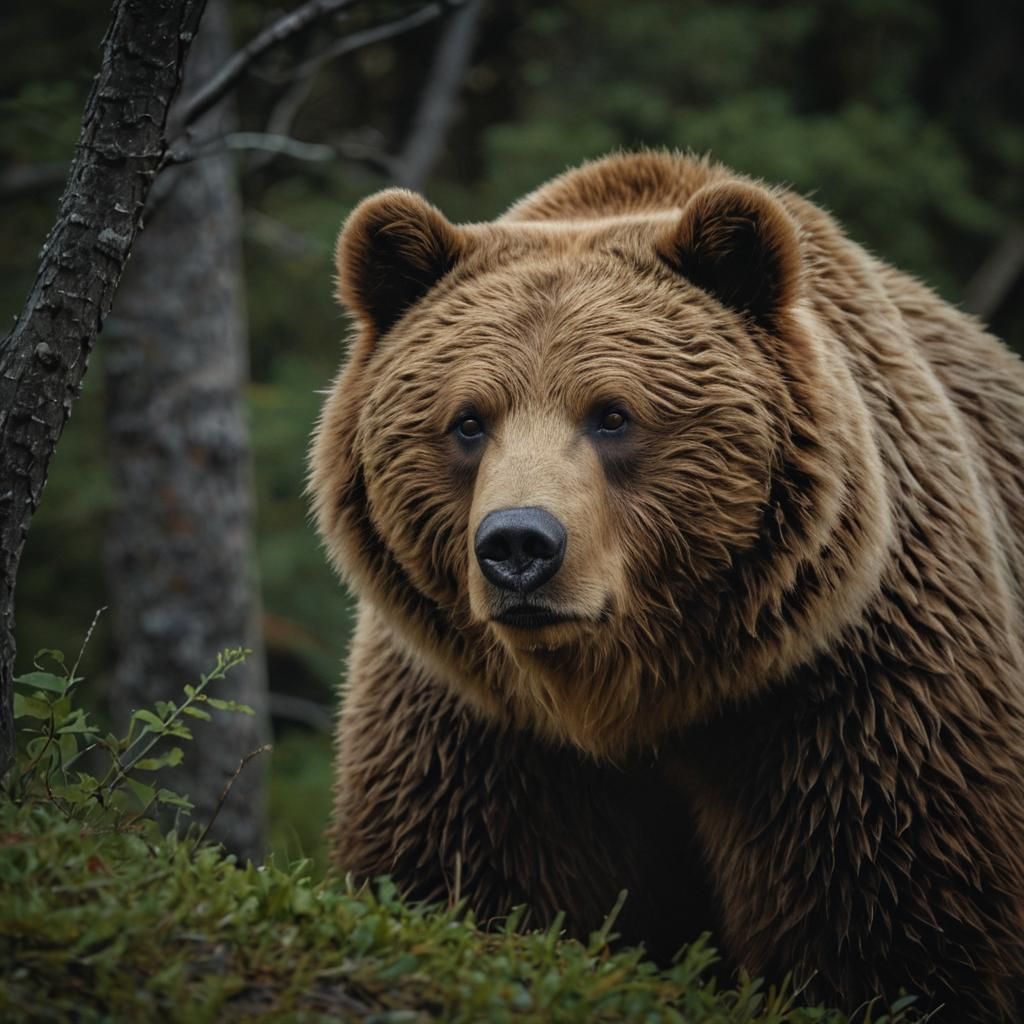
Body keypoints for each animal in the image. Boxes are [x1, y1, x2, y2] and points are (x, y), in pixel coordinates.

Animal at [309, 151, 1024, 1020]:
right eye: (468, 420)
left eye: (613, 414)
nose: (518, 546)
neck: (633, 690)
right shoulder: (475, 722)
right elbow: (459, 868)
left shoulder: (848, 690)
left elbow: (887, 916)